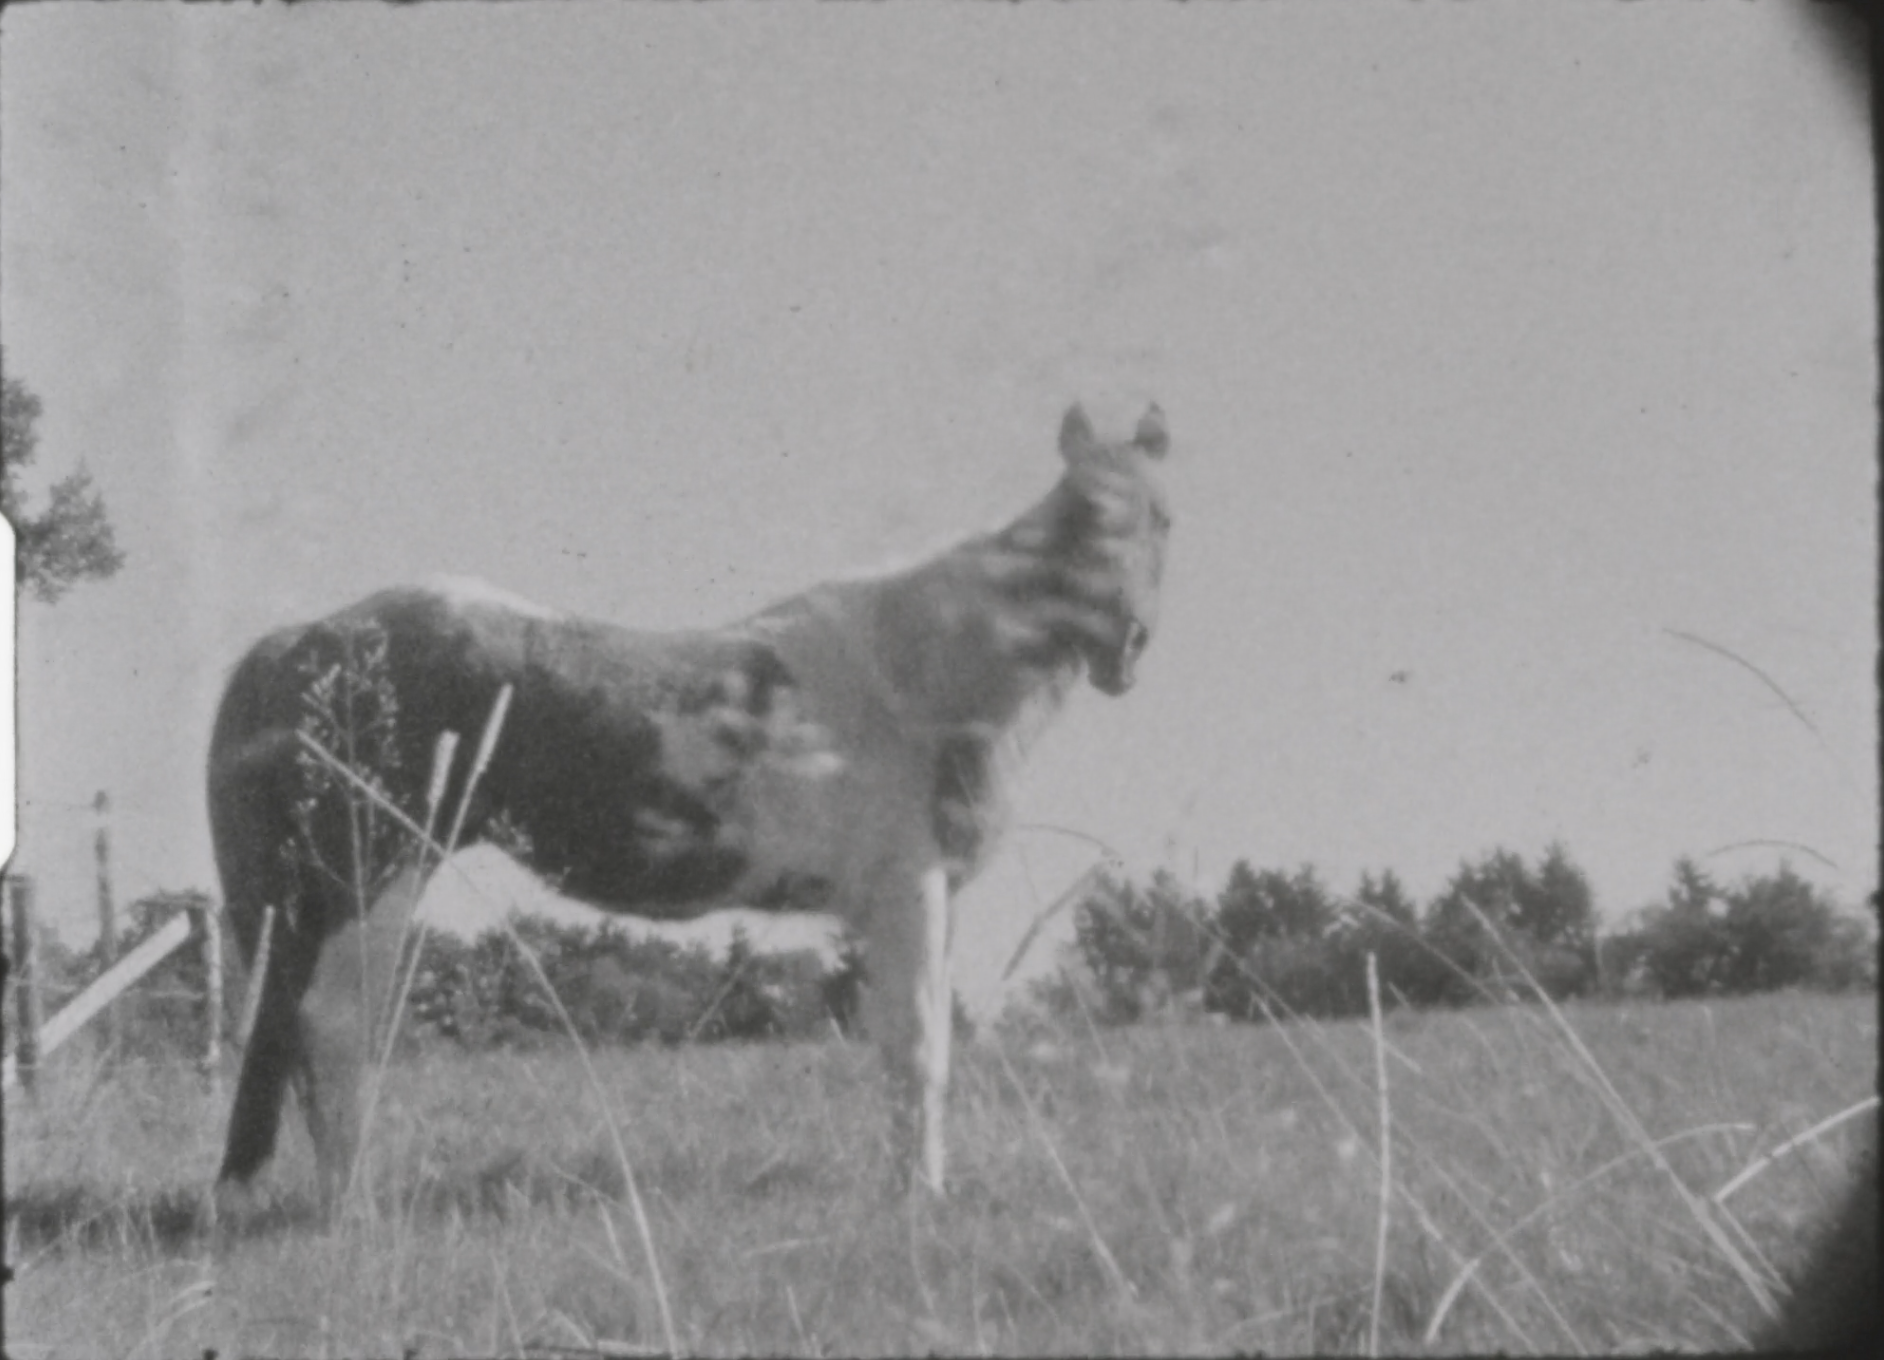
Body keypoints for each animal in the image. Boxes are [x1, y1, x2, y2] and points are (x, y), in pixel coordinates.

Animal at [209, 401, 1172, 1206]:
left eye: (1161, 518)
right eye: (1081, 515)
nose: (1128, 647)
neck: (917, 676)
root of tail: (307, 640)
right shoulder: (909, 891)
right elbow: (917, 1051)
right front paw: (921, 1198)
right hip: (371, 876)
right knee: (333, 1030)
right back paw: (353, 1210)